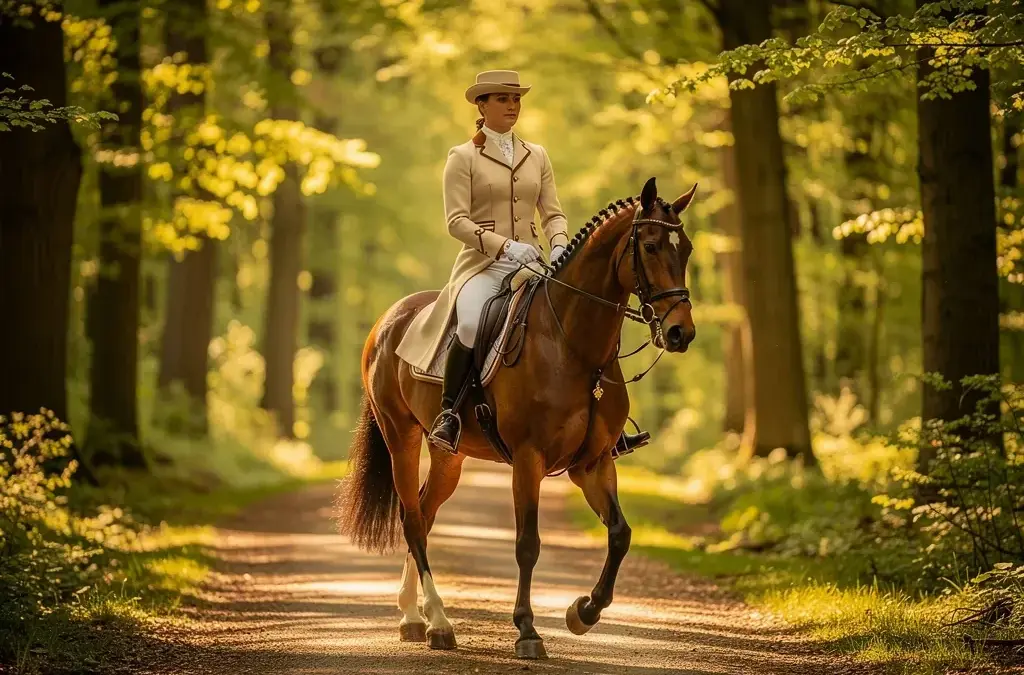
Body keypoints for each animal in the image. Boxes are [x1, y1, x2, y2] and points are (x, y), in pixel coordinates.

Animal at [335, 176, 697, 659]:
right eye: (652, 246)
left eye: (687, 249)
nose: (680, 333)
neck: (574, 346)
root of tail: (388, 320)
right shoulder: (529, 458)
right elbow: (528, 544)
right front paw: (527, 630)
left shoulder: (594, 463)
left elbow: (620, 534)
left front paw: (582, 612)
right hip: (401, 438)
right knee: (411, 521)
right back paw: (439, 623)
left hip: (448, 455)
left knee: (425, 516)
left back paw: (415, 617)